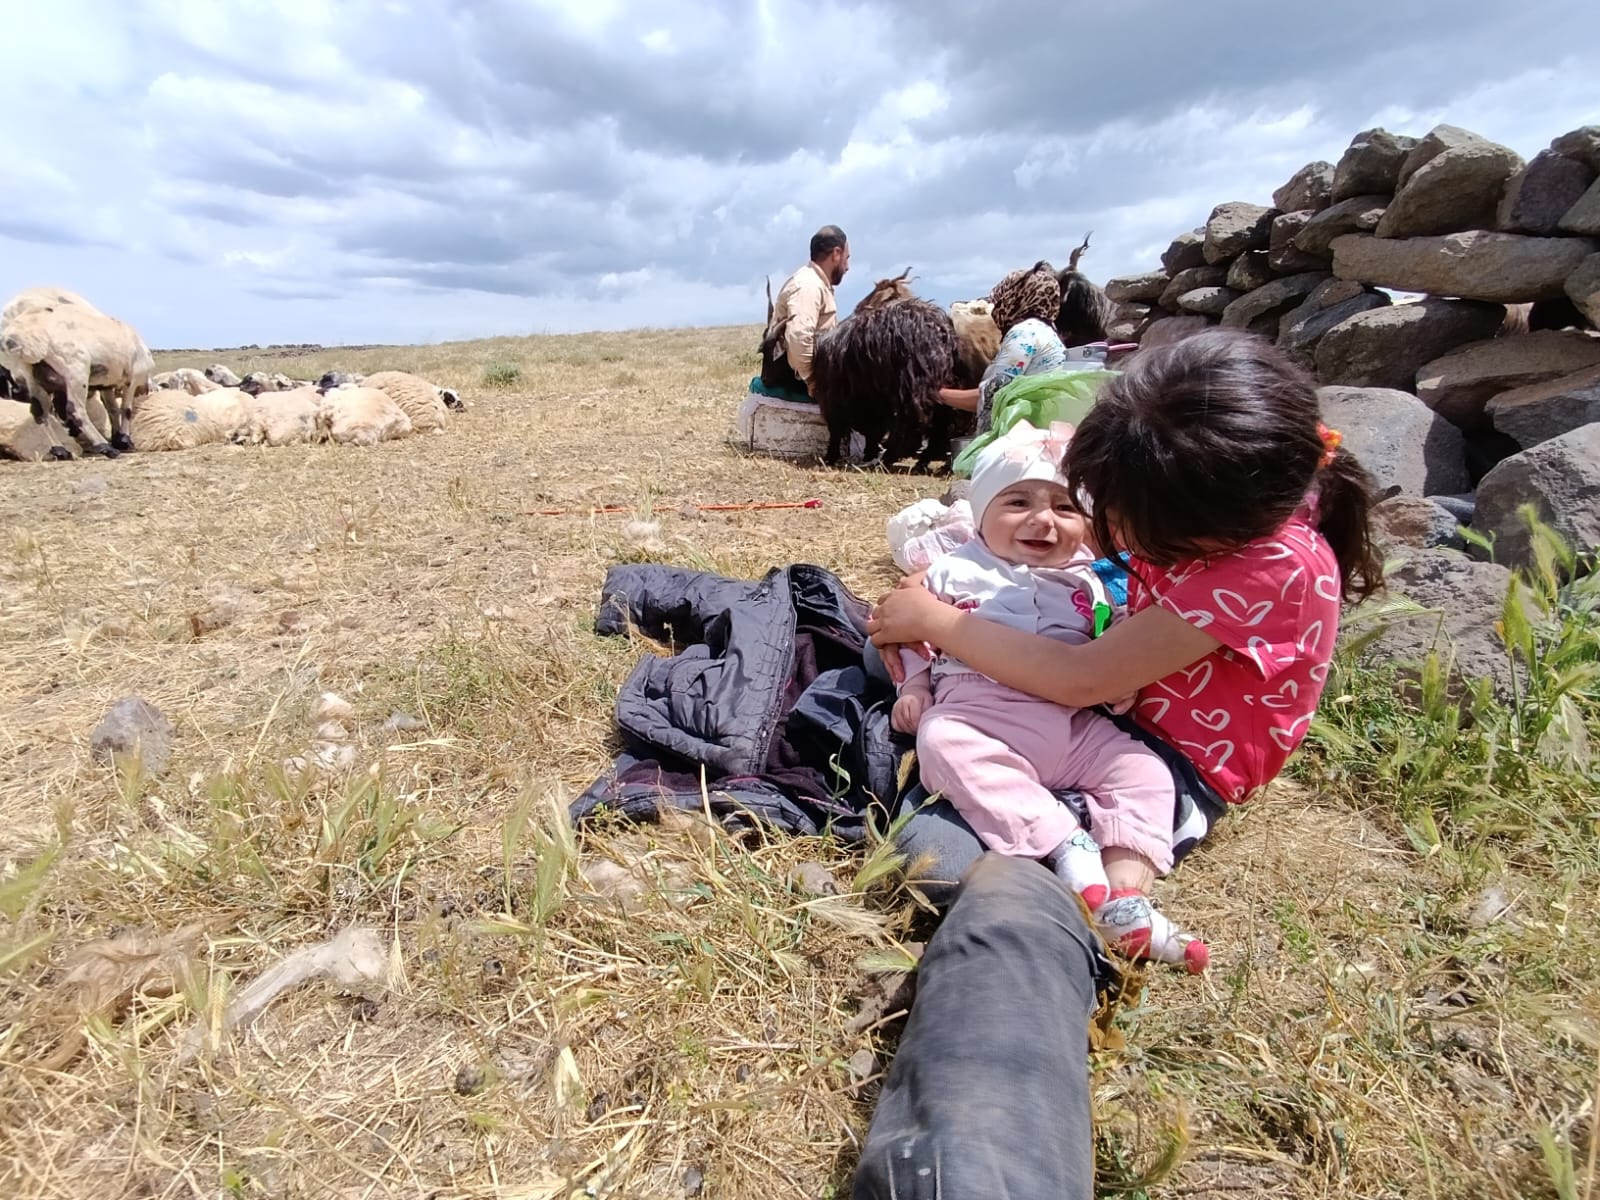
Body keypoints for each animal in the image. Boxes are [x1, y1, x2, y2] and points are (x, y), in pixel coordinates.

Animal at [0, 288, 152, 460]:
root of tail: (16, 337)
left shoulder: (106, 383)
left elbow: (112, 409)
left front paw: (118, 438)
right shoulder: (133, 377)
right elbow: (126, 410)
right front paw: (125, 440)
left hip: (31, 375)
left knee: (39, 412)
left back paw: (60, 450)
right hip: (75, 369)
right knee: (74, 410)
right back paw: (104, 447)